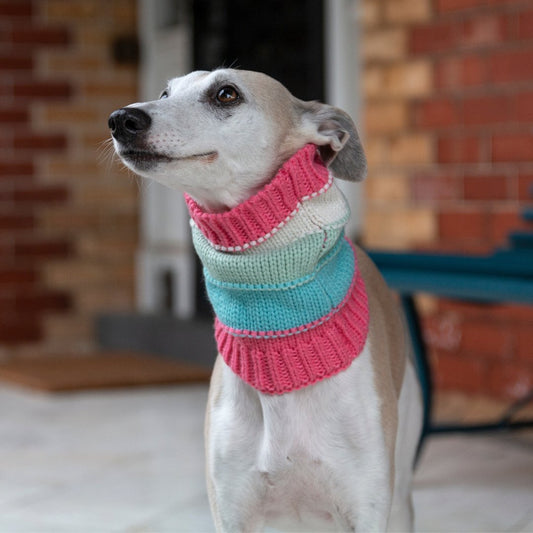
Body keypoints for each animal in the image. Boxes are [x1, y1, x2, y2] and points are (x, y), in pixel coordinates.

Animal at [109, 68, 424, 528]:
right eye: (165, 92)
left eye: (226, 94)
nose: (122, 119)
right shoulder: (231, 510)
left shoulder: (367, 507)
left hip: (399, 490)